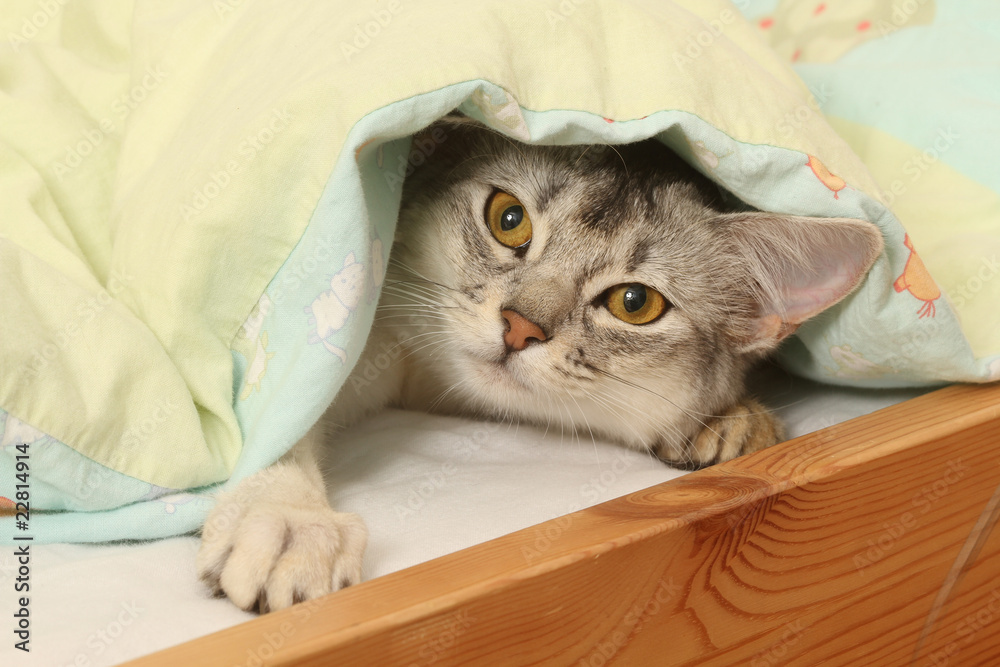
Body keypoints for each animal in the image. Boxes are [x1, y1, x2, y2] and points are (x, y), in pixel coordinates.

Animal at [195, 115, 884, 612]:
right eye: (508, 219)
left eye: (635, 303)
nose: (520, 326)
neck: (435, 392)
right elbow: (278, 420)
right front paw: (288, 521)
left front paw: (734, 422)